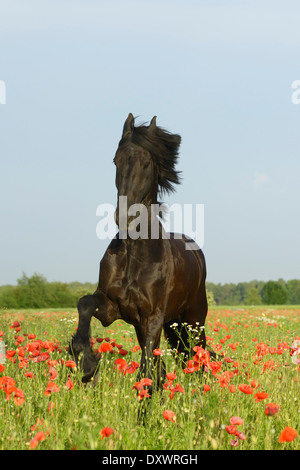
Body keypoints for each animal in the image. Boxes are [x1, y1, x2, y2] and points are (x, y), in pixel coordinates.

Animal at [70, 113, 207, 390]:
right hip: (171, 323)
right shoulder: (113, 308)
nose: (124, 217)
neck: (135, 256)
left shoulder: (152, 316)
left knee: (198, 356)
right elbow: (85, 304)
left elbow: (146, 369)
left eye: (146, 162)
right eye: (116, 160)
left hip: (194, 319)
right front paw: (87, 363)